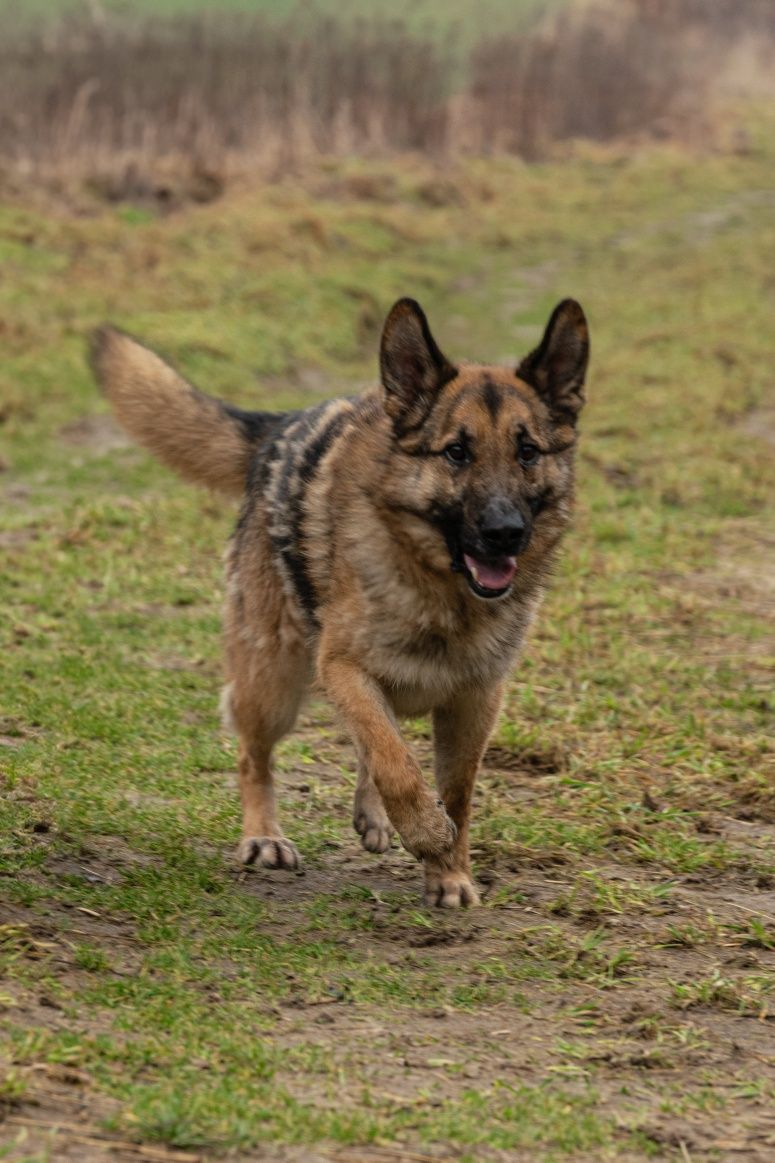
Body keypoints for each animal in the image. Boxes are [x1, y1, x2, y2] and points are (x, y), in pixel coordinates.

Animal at [89, 300, 586, 907]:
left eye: (527, 451)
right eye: (456, 452)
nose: (505, 532)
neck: (440, 591)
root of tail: (277, 429)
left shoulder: (476, 701)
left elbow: (456, 791)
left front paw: (450, 873)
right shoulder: (343, 668)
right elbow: (396, 763)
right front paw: (426, 831)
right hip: (273, 685)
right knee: (256, 756)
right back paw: (264, 835)